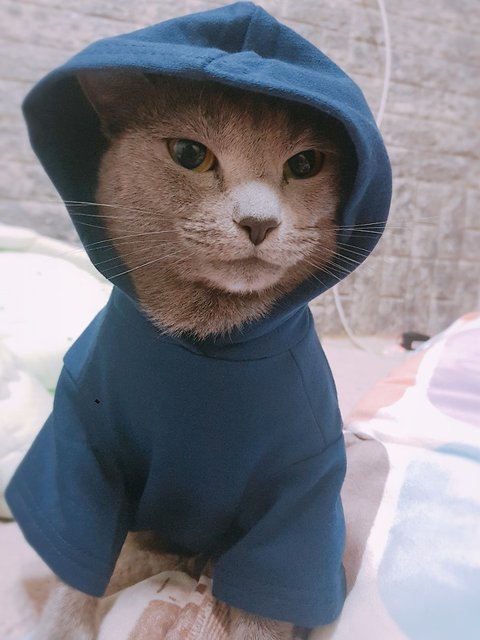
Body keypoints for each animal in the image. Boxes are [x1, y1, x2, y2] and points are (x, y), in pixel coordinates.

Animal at [28, 72, 354, 640]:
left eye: (305, 164)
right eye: (189, 153)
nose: (258, 222)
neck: (206, 342)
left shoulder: (302, 483)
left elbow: (264, 605)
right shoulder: (81, 441)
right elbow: (76, 560)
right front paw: (62, 627)